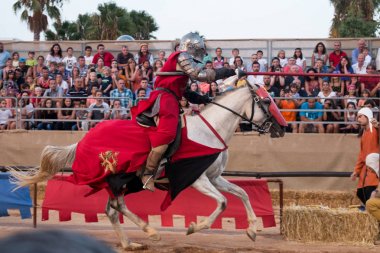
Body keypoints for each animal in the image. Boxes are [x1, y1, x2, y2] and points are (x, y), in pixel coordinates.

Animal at [10, 79, 286, 251]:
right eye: (266, 102)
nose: (282, 128)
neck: (210, 131)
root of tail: (83, 140)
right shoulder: (198, 179)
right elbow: (223, 202)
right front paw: (194, 228)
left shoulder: (215, 177)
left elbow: (242, 194)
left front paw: (252, 230)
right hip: (120, 178)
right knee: (117, 206)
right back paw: (149, 232)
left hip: (121, 181)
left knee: (112, 209)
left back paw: (131, 242)